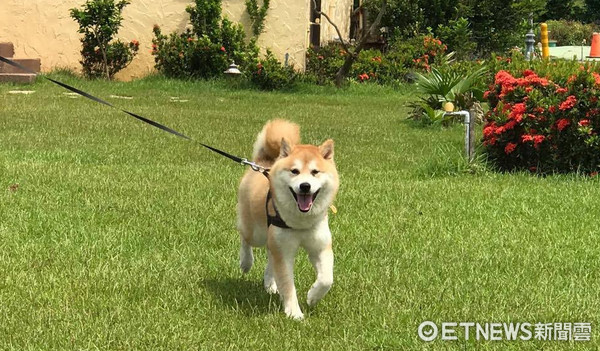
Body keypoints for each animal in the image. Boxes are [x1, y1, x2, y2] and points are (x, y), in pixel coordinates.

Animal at [237, 119, 340, 320]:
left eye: (315, 172)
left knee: (270, 257)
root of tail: (262, 164)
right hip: (257, 232)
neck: (301, 222)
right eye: (295, 171)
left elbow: (326, 279)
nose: (305, 186)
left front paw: (312, 297)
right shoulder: (284, 251)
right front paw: (294, 313)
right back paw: (246, 263)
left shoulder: (320, 246)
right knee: (245, 239)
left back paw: (270, 284)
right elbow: (288, 284)